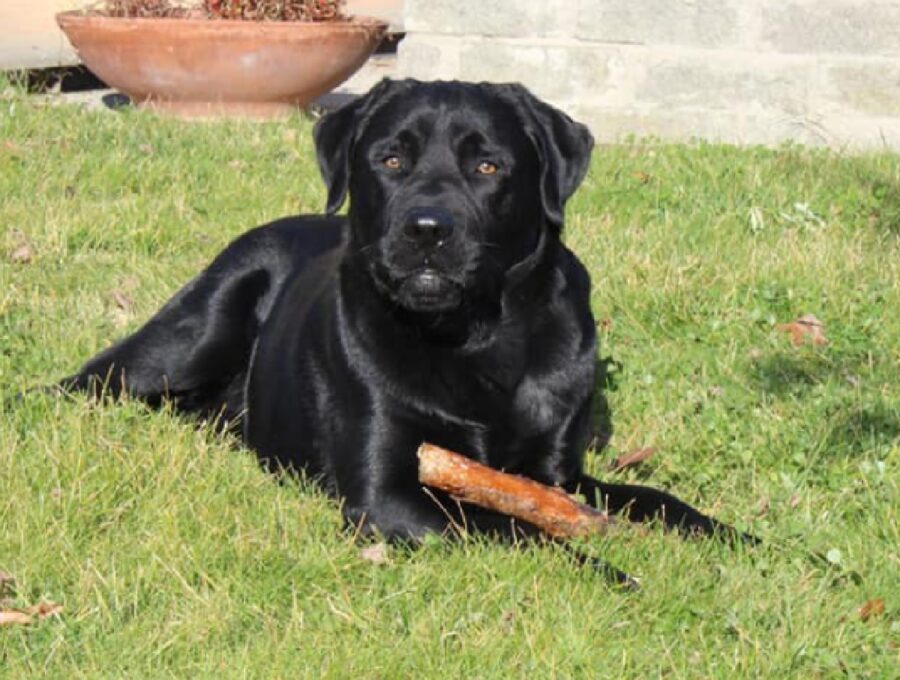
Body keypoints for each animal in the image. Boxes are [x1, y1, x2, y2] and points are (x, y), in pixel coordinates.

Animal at [58, 81, 744, 564]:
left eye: (488, 167)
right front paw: (616, 572)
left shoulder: (556, 472)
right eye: (390, 159)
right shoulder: (387, 495)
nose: (428, 229)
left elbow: (656, 500)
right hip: (194, 329)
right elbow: (513, 526)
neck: (475, 338)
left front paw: (746, 543)